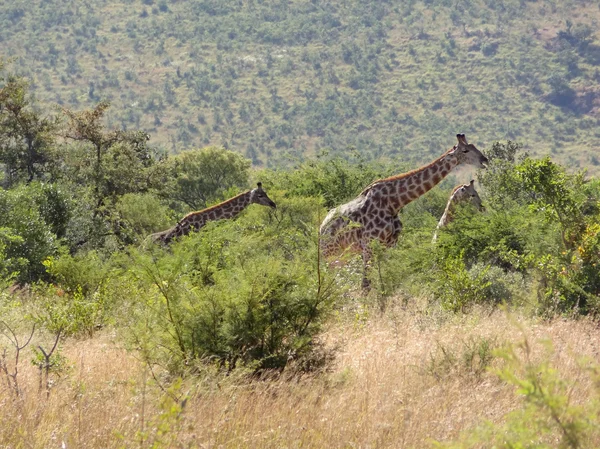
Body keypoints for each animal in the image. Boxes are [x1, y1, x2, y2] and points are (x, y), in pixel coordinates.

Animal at [318, 133, 488, 288]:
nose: (484, 160)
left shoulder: (390, 245)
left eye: (474, 146)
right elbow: (366, 285)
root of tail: (321, 227)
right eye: (465, 150)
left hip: (343, 254)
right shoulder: (369, 245)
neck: (394, 203)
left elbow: (386, 279)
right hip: (330, 253)